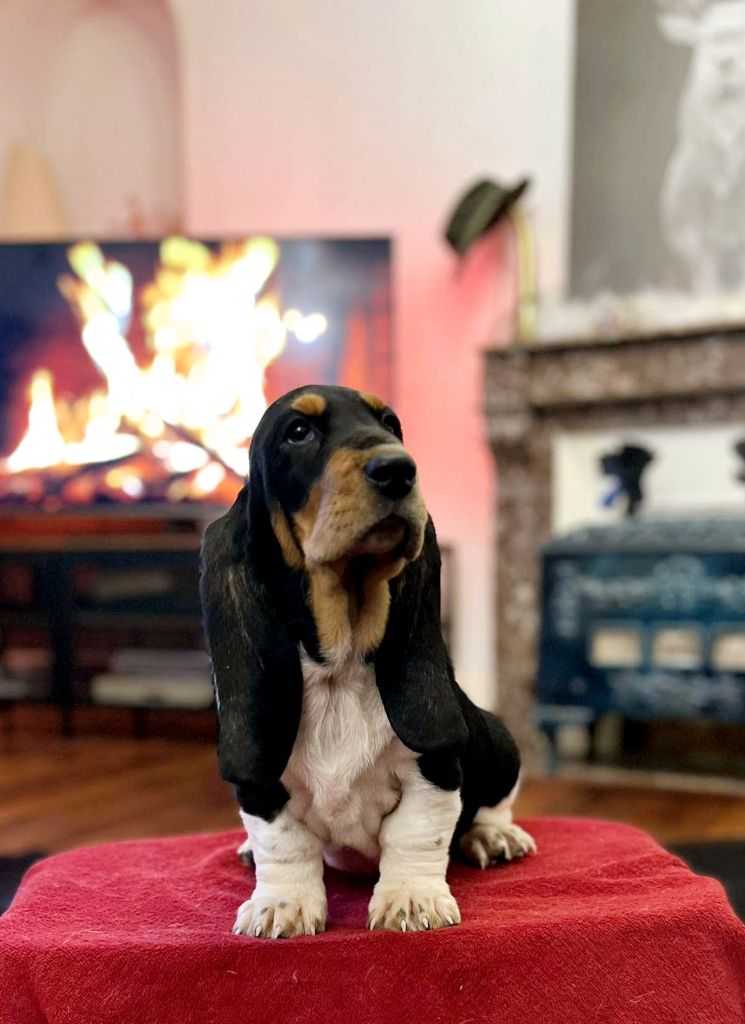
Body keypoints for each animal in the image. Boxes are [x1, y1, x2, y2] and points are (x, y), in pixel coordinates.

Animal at [200, 385, 535, 938]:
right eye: (298, 431)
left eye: (391, 425)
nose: (399, 469)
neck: (340, 665)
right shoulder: (260, 785)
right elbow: (283, 842)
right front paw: (282, 903)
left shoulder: (435, 767)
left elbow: (416, 831)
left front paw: (412, 898)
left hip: (496, 739)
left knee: (494, 803)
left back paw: (491, 836)